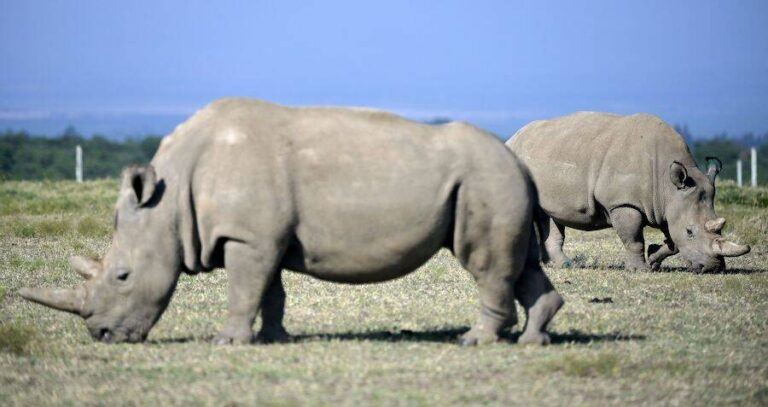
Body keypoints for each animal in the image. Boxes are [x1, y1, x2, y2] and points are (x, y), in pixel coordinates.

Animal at [20, 98, 563, 345]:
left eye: (122, 276)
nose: (102, 336)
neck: (167, 203)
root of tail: (520, 164)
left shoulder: (248, 237)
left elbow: (244, 290)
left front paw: (227, 343)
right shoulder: (263, 237)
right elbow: (270, 291)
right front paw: (273, 339)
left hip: (486, 180)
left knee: (485, 263)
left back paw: (474, 341)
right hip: (496, 180)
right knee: (519, 264)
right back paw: (533, 340)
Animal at [507, 112, 750, 273]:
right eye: (690, 232)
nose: (713, 268)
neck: (667, 184)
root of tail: (511, 138)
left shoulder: (668, 203)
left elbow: (672, 240)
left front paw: (654, 258)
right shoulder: (623, 202)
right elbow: (633, 238)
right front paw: (641, 270)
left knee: (548, 215)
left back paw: (563, 265)